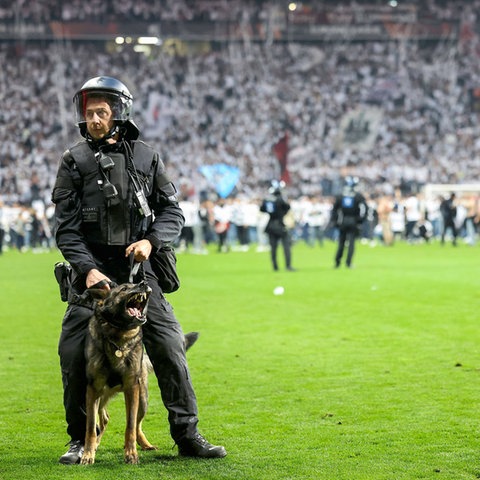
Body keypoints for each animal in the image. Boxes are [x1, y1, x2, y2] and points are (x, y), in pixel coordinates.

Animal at [80, 282, 197, 464]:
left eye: (134, 284)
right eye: (123, 289)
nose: (144, 283)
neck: (119, 337)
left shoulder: (131, 388)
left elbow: (130, 425)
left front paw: (131, 453)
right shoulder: (93, 390)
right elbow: (91, 427)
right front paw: (87, 454)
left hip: (142, 400)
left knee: (136, 425)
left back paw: (144, 444)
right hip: (100, 397)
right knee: (103, 419)